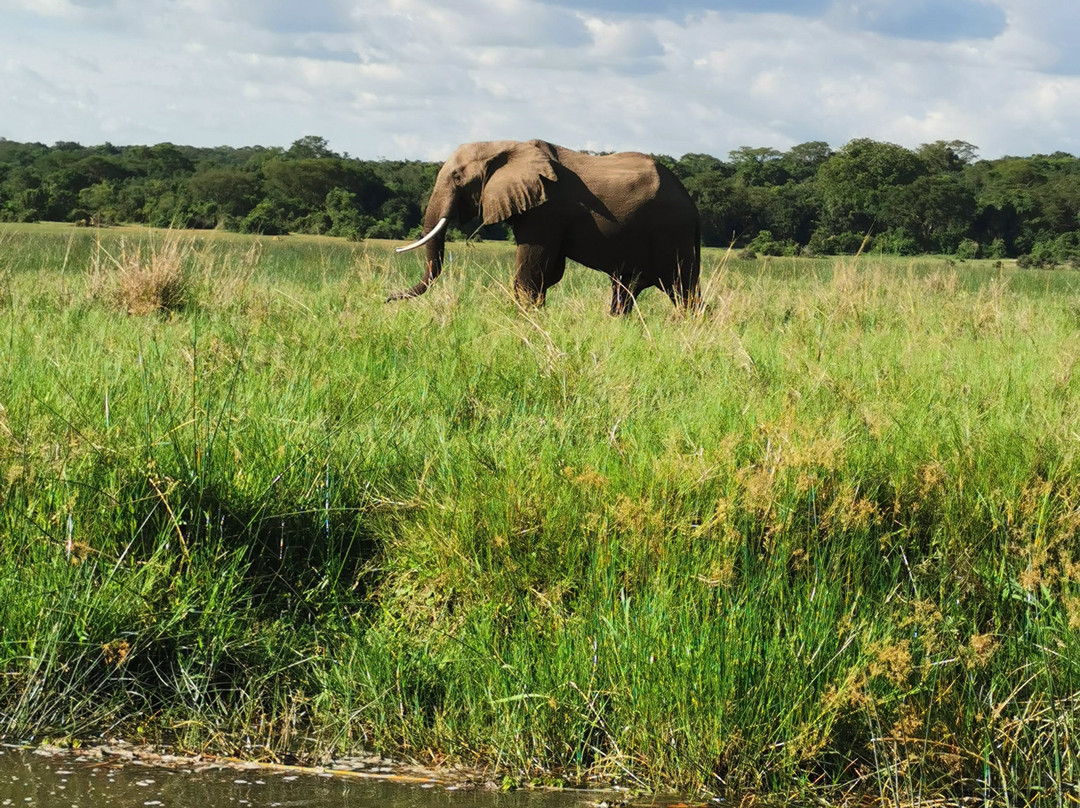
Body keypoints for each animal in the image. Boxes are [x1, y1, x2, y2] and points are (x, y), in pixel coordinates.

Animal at [388, 139, 699, 315]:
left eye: (456, 177)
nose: (388, 298)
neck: (506, 147)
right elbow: (548, 273)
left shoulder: (545, 211)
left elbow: (532, 270)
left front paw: (524, 320)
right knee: (627, 289)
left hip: (674, 233)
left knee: (681, 289)